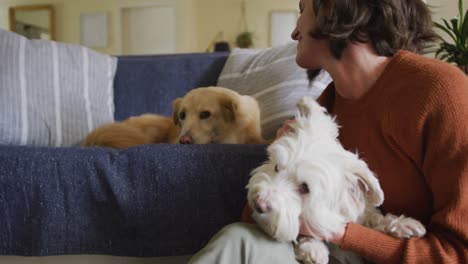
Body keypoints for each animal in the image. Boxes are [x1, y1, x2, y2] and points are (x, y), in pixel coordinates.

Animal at [247, 97, 426, 264]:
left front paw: (402, 224)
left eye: (305, 187)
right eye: (277, 167)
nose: (258, 204)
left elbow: (372, 218)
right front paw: (312, 247)